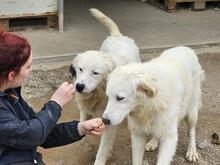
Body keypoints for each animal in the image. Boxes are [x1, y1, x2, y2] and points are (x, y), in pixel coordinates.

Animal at [69, 8, 140, 165]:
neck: (98, 94)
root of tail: (118, 36)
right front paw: (85, 145)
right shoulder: (85, 110)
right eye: (80, 69)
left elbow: (102, 149)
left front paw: (103, 156)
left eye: (95, 73)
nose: (79, 86)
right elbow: (81, 127)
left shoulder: (107, 121)